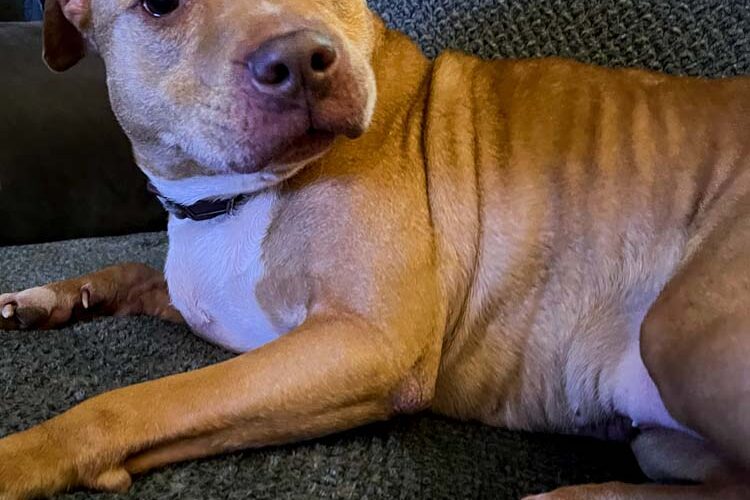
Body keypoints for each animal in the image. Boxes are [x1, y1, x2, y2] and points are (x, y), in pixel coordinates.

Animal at [1, 0, 749, 498]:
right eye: (161, 4)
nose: (302, 60)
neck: (230, 199)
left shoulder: (366, 342)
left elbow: (133, 403)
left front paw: (24, 457)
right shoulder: (214, 302)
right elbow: (133, 269)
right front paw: (50, 299)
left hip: (679, 332)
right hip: (664, 440)